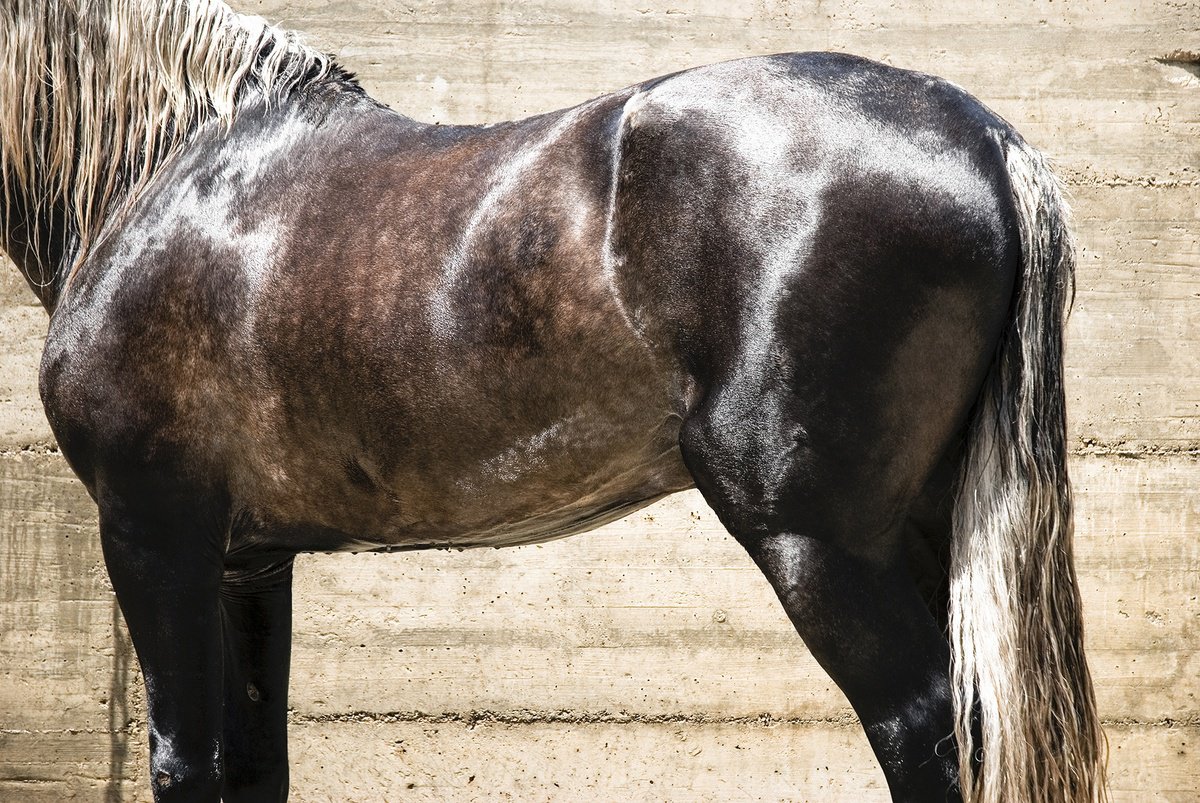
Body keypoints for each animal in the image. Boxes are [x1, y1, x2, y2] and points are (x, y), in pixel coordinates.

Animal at [0, 1, 1107, 800]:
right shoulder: (247, 561)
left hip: (813, 540)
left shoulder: (155, 534)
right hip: (924, 528)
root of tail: (982, 138)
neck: (167, 172)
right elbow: (252, 765)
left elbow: (184, 761)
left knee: (923, 731)